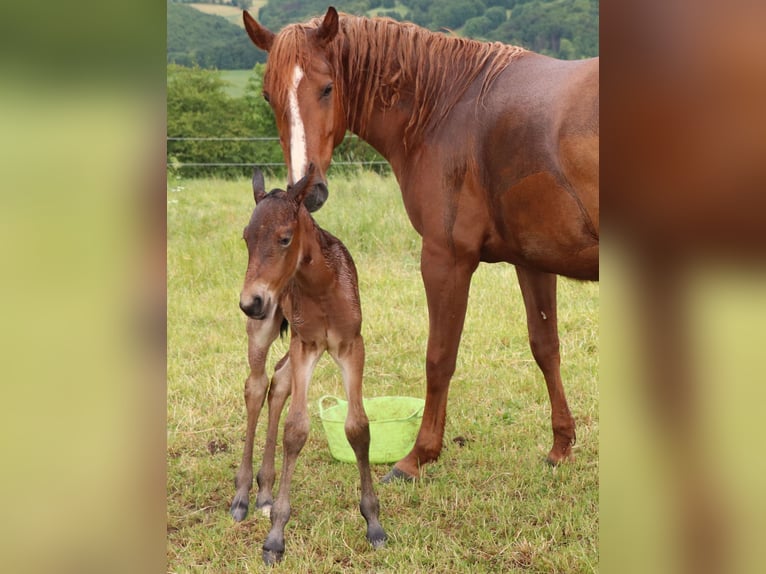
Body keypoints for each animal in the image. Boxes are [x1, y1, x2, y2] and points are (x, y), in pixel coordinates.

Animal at [232, 166, 386, 564]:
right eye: (246, 239)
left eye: (285, 238)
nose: (250, 301)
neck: (323, 287)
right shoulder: (307, 345)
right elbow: (296, 430)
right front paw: (275, 538)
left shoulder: (351, 346)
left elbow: (358, 427)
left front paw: (374, 524)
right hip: (264, 329)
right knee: (256, 385)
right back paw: (242, 496)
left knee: (279, 382)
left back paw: (265, 493)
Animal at [242, 6, 599, 481]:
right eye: (268, 96)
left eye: (327, 87)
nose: (308, 189)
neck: (448, 109)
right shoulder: (533, 261)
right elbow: (546, 347)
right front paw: (561, 446)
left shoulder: (445, 260)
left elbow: (439, 358)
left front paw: (417, 457)